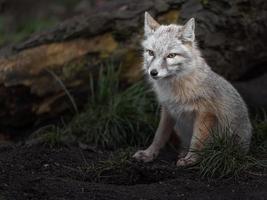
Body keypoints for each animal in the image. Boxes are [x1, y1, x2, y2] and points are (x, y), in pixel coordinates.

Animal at [134, 11, 253, 166]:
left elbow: (197, 140)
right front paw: (149, 153)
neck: (176, 88)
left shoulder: (205, 113)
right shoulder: (168, 110)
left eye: (171, 55)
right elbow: (159, 135)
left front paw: (191, 159)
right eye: (151, 53)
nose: (153, 72)